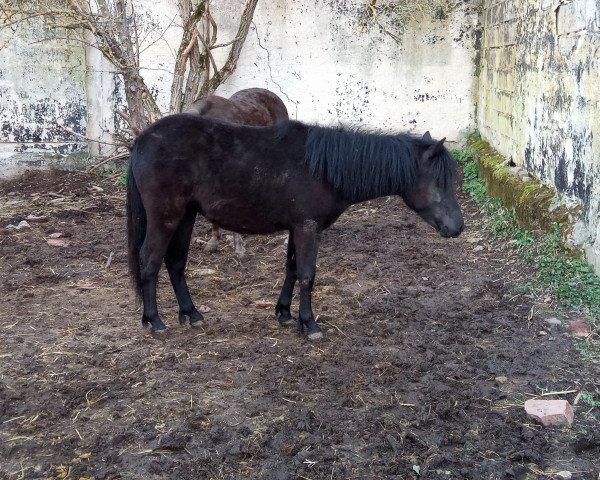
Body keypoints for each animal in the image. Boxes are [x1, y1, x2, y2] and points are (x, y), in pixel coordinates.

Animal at [125, 115, 464, 342]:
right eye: (440, 181)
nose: (458, 227)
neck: (323, 168)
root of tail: (141, 141)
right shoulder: (307, 228)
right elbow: (307, 275)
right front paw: (309, 324)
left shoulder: (296, 228)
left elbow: (291, 269)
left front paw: (285, 314)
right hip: (166, 217)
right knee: (150, 262)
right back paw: (155, 321)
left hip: (185, 217)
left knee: (176, 263)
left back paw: (191, 314)